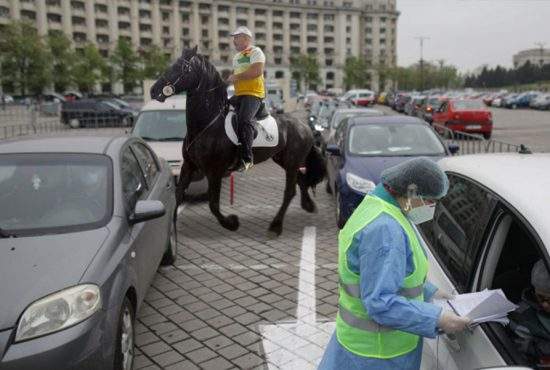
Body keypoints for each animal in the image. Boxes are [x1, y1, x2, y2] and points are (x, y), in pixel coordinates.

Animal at [149, 46, 326, 236]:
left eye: (181, 68)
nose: (153, 90)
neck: (208, 124)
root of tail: (305, 126)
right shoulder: (188, 166)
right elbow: (177, 196)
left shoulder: (214, 171)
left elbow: (213, 205)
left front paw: (231, 223)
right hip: (284, 160)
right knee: (301, 180)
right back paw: (308, 205)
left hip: (291, 163)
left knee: (290, 191)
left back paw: (276, 226)